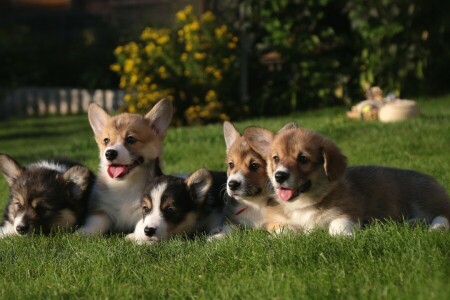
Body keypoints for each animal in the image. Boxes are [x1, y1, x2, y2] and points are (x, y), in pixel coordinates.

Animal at [78, 98, 173, 234]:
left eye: (131, 139)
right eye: (106, 140)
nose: (109, 153)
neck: (124, 185)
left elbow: (141, 224)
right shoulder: (102, 210)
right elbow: (95, 222)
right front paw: (81, 233)